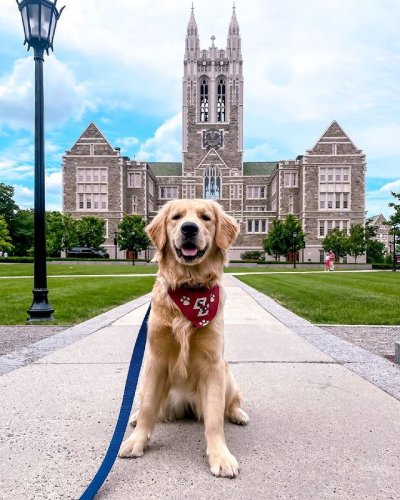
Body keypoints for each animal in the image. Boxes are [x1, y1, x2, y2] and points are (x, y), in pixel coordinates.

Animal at [117, 198, 248, 476]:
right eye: (176, 217)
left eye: (205, 217)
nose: (189, 228)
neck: (189, 287)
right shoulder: (156, 360)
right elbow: (148, 409)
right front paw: (136, 442)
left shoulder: (213, 363)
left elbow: (214, 419)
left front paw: (220, 456)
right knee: (147, 406)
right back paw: (133, 417)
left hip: (228, 376)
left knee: (230, 403)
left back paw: (238, 414)